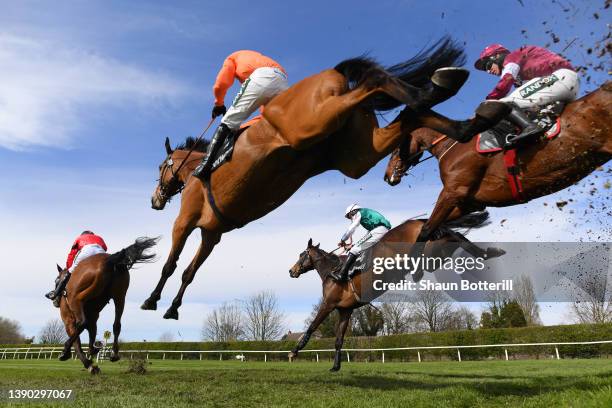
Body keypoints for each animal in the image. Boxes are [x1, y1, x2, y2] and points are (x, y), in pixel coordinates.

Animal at [56, 236, 158, 372]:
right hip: (120, 296)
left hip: (76, 299)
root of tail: (109, 260)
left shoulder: (69, 320)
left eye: (56, 281)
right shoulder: (93, 318)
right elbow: (91, 333)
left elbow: (77, 341)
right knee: (117, 324)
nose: (51, 296)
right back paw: (114, 354)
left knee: (82, 322)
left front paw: (83, 361)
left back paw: (67, 349)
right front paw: (93, 352)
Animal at [143, 37, 512, 318]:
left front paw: (152, 300)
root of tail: (332, 73)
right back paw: (466, 117)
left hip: (309, 123)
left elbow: (171, 264)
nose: (155, 200)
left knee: (375, 82)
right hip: (356, 155)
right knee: (410, 115)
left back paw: (441, 87)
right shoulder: (212, 234)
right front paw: (172, 308)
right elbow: (190, 271)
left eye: (161, 168)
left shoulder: (186, 220)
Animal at [286, 212, 498, 372]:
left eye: (301, 255)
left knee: (451, 239)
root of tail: (420, 221)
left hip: (429, 249)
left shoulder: (328, 304)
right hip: (437, 249)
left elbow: (312, 327)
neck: (331, 271)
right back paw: (487, 254)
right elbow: (338, 340)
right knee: (455, 237)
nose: (291, 271)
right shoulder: (345, 310)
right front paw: (335, 366)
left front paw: (294, 352)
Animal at [384, 83, 608, 242]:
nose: (387, 177)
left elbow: (425, 231)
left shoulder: (452, 192)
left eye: (395, 147)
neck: (454, 143)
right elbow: (426, 224)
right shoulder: (469, 202)